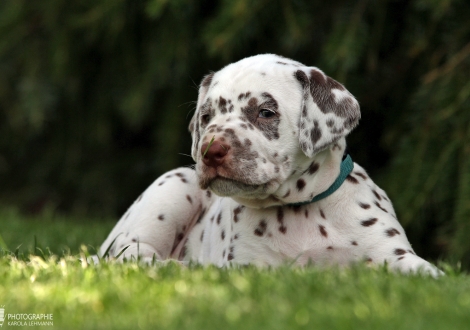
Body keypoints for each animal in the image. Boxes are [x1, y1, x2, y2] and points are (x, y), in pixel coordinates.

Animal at [97, 54, 442, 276]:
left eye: (265, 112)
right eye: (206, 116)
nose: (210, 151)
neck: (301, 209)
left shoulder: (391, 254)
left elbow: (425, 272)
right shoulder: (248, 265)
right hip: (171, 190)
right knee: (131, 255)